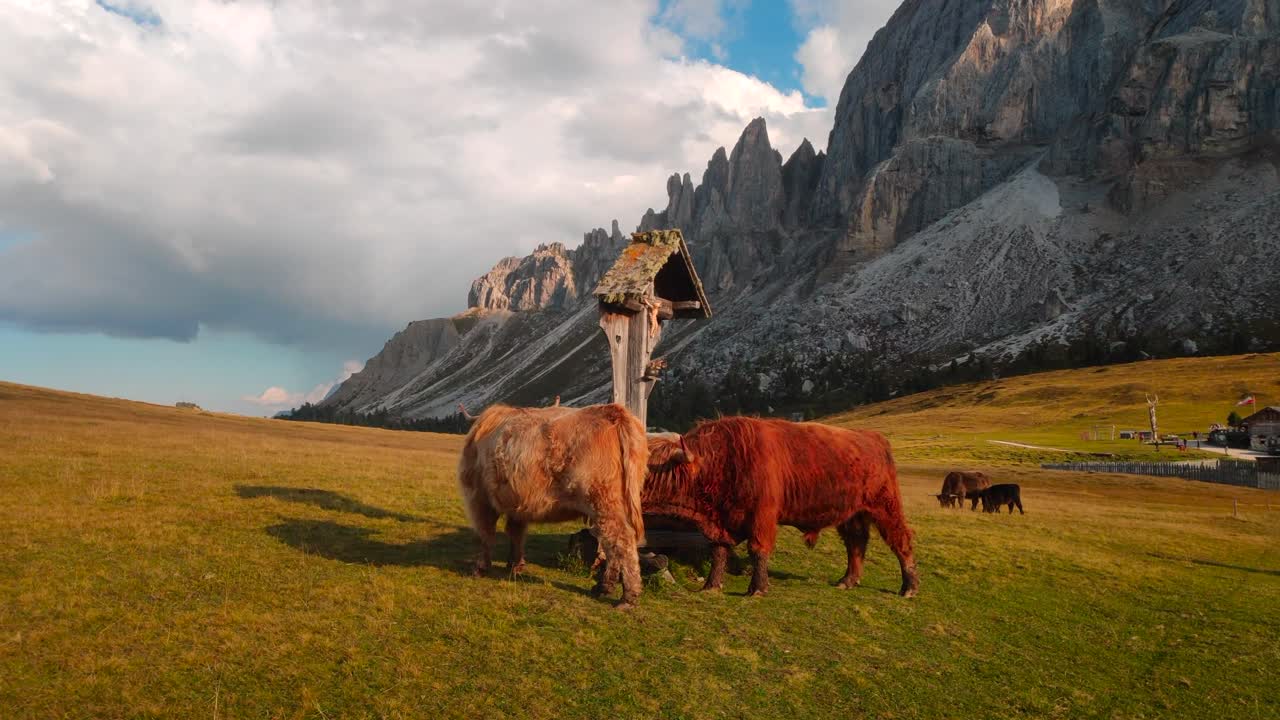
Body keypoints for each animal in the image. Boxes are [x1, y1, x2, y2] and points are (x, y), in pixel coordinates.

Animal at [456, 403, 648, 608]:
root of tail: (612, 411)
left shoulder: (479, 498)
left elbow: (485, 533)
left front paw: (481, 567)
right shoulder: (517, 504)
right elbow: (515, 532)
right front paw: (515, 564)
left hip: (603, 501)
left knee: (621, 540)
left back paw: (627, 597)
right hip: (617, 502)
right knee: (611, 543)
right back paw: (603, 587)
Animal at [643, 417, 919, 598]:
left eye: (647, 472)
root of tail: (874, 438)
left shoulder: (762, 517)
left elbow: (758, 550)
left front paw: (757, 589)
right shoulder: (721, 523)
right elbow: (719, 552)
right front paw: (711, 586)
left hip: (885, 507)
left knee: (900, 541)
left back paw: (909, 587)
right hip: (852, 514)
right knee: (856, 544)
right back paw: (848, 581)